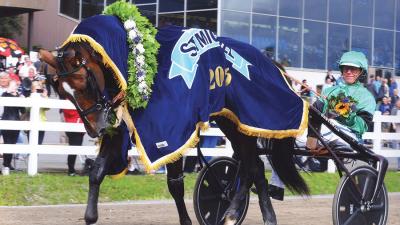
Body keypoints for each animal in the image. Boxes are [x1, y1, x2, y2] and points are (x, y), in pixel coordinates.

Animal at [39, 19, 310, 225]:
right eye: (63, 93)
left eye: (83, 82)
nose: (96, 129)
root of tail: (270, 61)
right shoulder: (120, 128)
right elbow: (96, 172)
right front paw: (90, 216)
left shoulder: (172, 132)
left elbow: (175, 184)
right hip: (232, 122)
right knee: (253, 166)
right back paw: (253, 214)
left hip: (247, 121)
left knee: (251, 166)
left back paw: (241, 213)